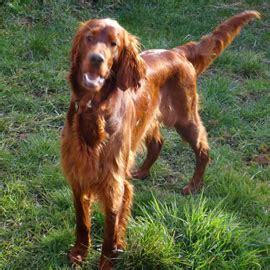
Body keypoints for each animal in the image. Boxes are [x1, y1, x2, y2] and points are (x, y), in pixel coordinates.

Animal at [60, 10, 260, 268]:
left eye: (114, 44)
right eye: (89, 38)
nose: (96, 59)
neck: (94, 111)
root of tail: (177, 52)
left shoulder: (114, 183)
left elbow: (110, 232)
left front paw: (107, 261)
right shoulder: (78, 173)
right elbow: (82, 222)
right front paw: (79, 253)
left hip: (185, 119)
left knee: (203, 149)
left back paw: (194, 185)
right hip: (149, 121)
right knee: (158, 143)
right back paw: (143, 171)